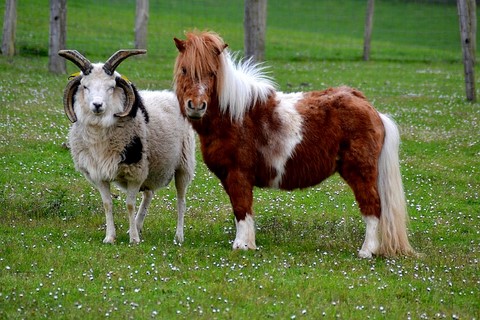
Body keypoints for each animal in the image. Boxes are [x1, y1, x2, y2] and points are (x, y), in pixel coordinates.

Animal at [59, 50, 196, 244]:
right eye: (85, 86)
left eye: (111, 86)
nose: (97, 105)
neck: (100, 135)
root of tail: (169, 95)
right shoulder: (98, 174)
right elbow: (107, 204)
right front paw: (110, 237)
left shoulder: (135, 172)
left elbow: (130, 205)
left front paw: (134, 239)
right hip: (151, 169)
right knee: (148, 195)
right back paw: (138, 225)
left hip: (183, 165)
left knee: (181, 201)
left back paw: (178, 235)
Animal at [173, 30, 416, 258]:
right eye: (184, 70)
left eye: (212, 73)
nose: (196, 106)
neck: (234, 115)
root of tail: (370, 108)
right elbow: (241, 210)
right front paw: (248, 243)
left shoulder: (238, 174)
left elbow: (242, 209)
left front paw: (241, 245)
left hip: (360, 171)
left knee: (372, 207)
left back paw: (367, 251)